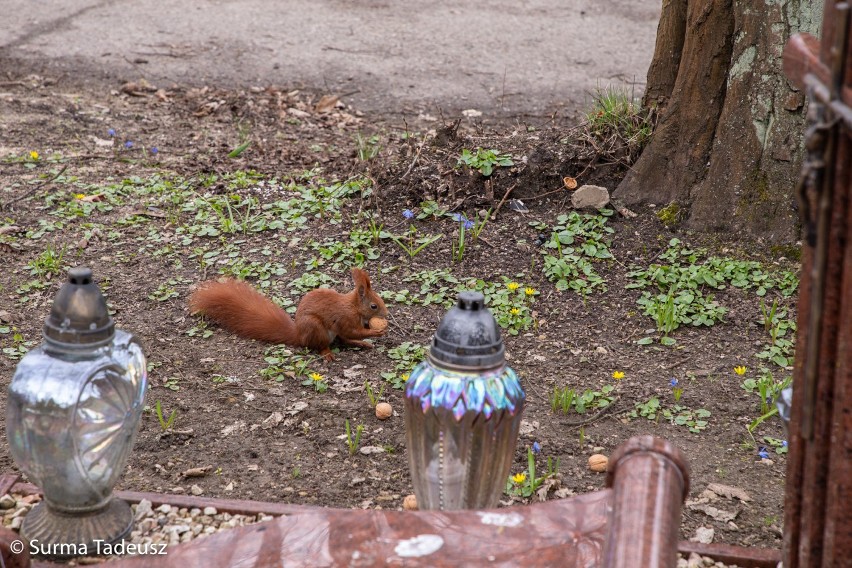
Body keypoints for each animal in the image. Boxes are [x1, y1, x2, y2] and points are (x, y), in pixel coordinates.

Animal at [190, 266, 390, 360]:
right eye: (374, 306)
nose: (386, 314)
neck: (354, 307)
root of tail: (299, 335)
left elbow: (351, 335)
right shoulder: (345, 318)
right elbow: (352, 331)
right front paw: (376, 331)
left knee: (344, 340)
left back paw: (361, 344)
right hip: (315, 328)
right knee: (322, 345)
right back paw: (327, 353)